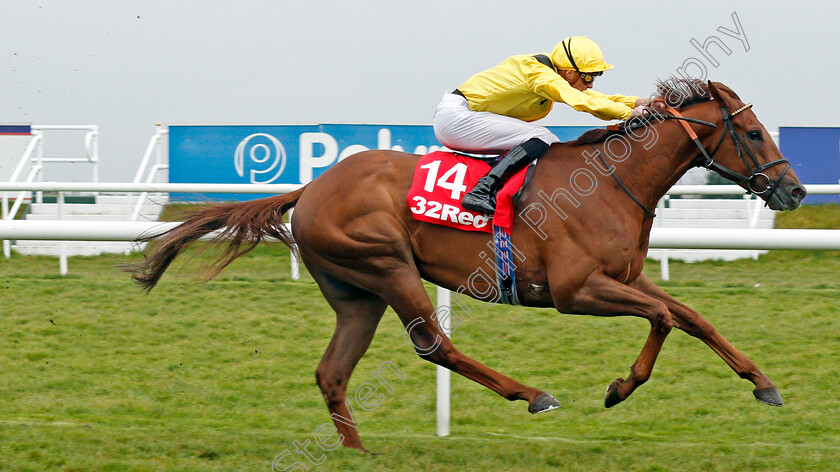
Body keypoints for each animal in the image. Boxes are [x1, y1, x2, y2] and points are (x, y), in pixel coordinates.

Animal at [126, 80, 808, 450]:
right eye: (751, 133)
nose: (795, 191)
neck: (612, 182)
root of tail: (312, 187)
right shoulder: (575, 290)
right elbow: (664, 319)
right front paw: (620, 387)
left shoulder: (624, 277)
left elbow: (691, 316)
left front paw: (763, 383)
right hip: (388, 264)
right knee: (434, 345)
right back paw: (531, 394)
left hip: (356, 294)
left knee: (332, 373)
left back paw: (359, 452)